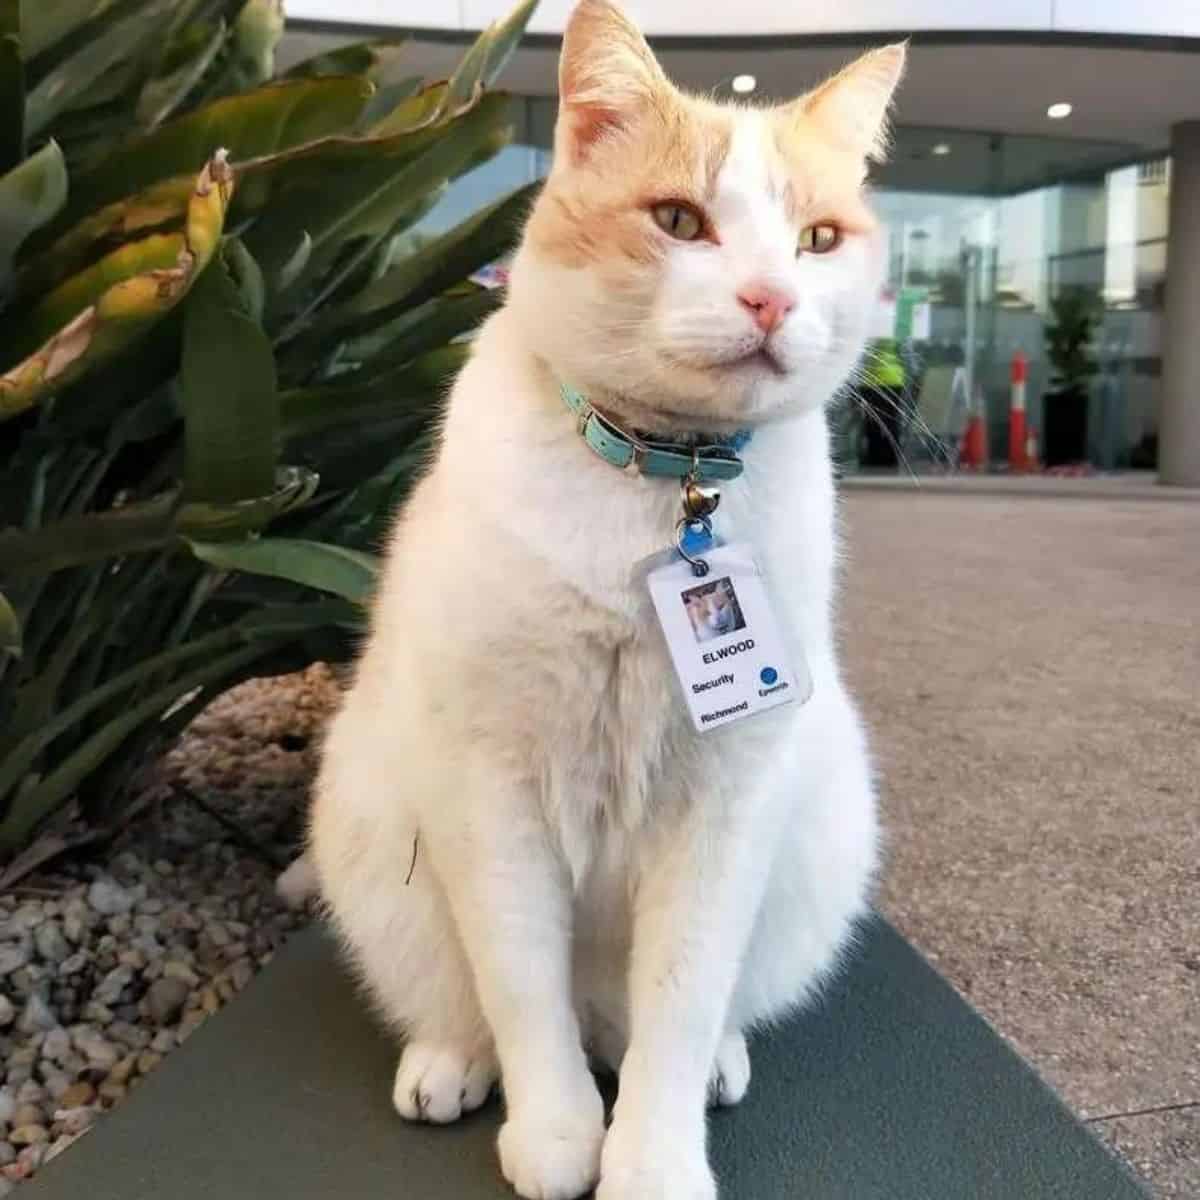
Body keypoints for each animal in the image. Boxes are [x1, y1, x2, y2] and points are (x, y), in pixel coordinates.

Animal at [309, 4, 902, 1195]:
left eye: (818, 241)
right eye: (679, 220)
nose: (770, 298)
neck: (664, 485)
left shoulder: (726, 802)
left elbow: (677, 1003)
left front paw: (653, 1159)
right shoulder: (489, 790)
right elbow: (521, 988)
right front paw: (554, 1133)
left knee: (659, 1023)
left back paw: (710, 1061)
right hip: (376, 829)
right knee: (473, 1003)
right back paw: (449, 1064)